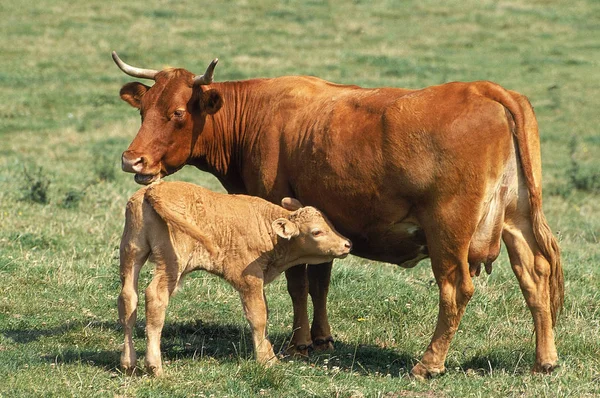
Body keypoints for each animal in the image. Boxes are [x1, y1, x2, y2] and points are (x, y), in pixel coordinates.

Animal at [117, 181, 352, 376]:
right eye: (317, 232)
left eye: (330, 223)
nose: (347, 244)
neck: (265, 227)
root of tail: (155, 189)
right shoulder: (248, 279)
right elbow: (258, 316)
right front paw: (265, 360)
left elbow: (264, 312)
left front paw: (270, 356)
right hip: (171, 263)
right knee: (155, 297)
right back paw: (155, 367)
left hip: (132, 252)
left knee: (128, 298)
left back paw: (128, 363)